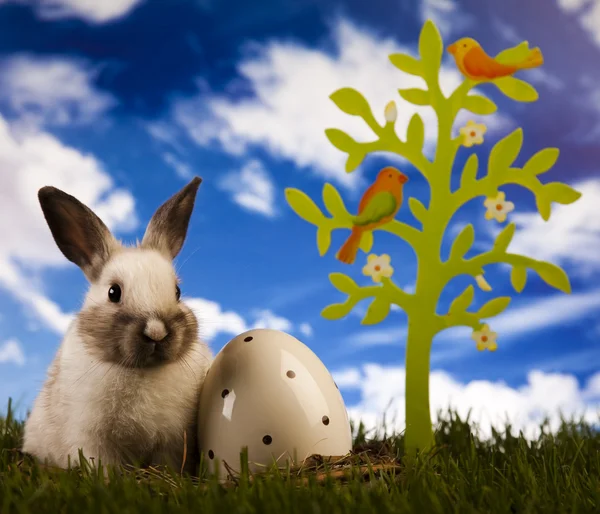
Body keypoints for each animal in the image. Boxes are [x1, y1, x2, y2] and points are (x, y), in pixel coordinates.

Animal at [21, 176, 213, 472]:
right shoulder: (90, 439)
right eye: (114, 292)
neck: (141, 370)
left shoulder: (172, 442)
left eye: (178, 292)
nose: (157, 332)